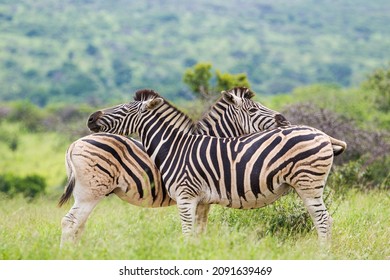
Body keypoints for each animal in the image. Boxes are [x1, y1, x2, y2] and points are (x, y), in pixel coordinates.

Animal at [58, 86, 290, 246]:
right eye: (253, 110)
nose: (284, 119)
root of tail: (74, 144)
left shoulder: (204, 200)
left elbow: (200, 232)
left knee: (78, 225)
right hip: (90, 192)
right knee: (71, 223)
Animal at [88, 88, 348, 242]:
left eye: (124, 109)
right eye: (253, 109)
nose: (91, 118)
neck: (175, 147)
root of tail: (323, 134)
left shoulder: (185, 196)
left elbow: (187, 234)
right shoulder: (202, 200)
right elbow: (199, 233)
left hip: (308, 184)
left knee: (323, 221)